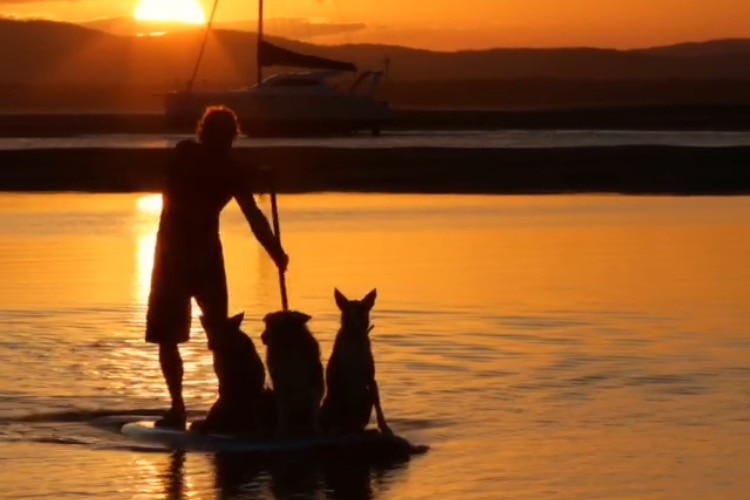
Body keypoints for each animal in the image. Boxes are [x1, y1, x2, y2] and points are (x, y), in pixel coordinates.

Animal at [320, 288, 394, 436]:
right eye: (347, 309)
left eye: (362, 308)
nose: (357, 317)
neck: (354, 339)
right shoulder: (337, 380)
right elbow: (340, 408)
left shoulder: (371, 380)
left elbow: (378, 405)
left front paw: (384, 427)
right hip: (328, 402)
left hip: (365, 396)